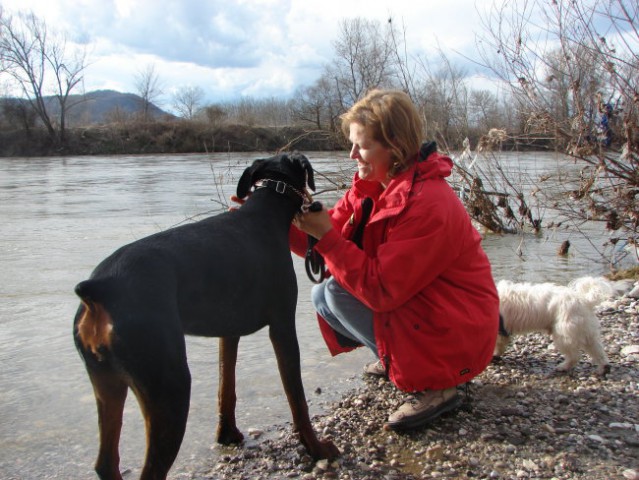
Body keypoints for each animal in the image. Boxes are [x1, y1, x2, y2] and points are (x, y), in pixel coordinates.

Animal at [74, 154, 340, 480]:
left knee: (105, 462)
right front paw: (316, 448)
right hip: (169, 387)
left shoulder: (228, 333)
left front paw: (227, 434)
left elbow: (226, 385)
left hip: (107, 382)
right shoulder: (282, 326)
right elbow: (297, 399)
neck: (266, 209)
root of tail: (101, 288)